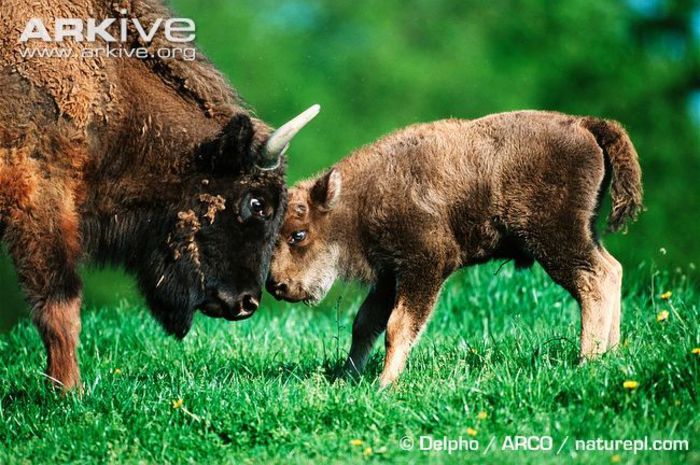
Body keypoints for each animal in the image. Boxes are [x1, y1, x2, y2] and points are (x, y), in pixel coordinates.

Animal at [268, 110, 640, 386]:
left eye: (298, 234)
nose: (277, 285)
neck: (358, 199)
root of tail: (585, 124)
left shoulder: (424, 267)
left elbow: (397, 326)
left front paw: (384, 385)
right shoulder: (389, 278)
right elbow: (364, 324)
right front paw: (348, 378)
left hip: (556, 240)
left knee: (593, 280)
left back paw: (586, 361)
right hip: (585, 233)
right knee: (613, 269)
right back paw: (610, 354)